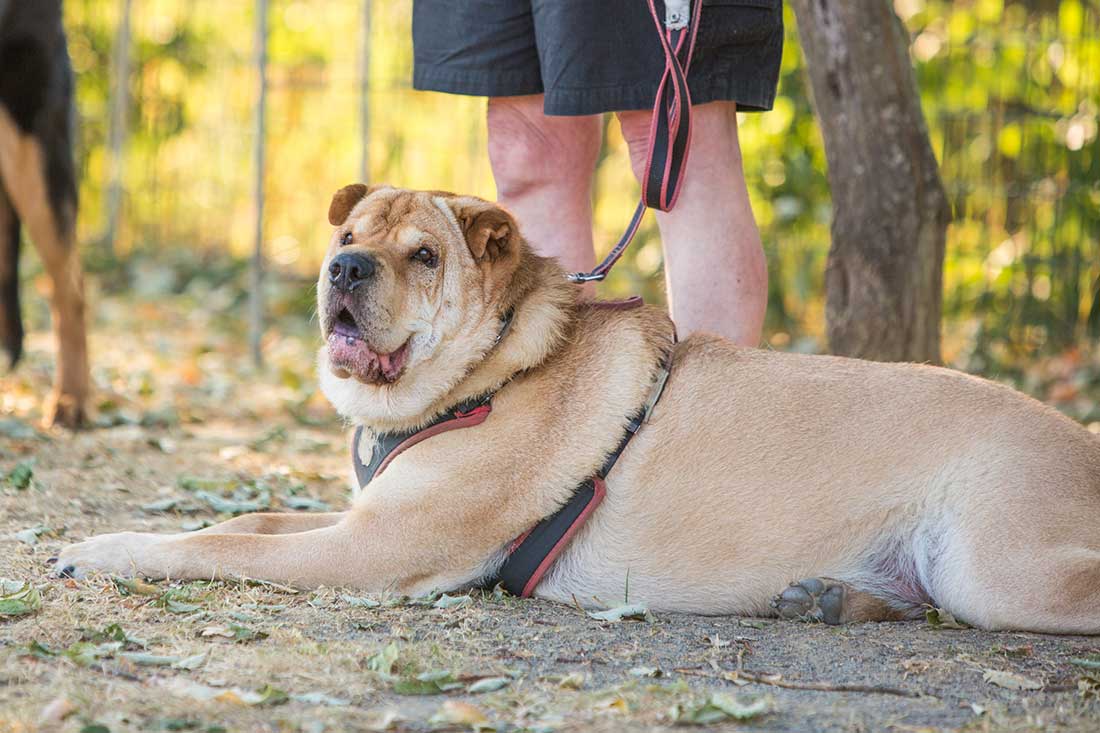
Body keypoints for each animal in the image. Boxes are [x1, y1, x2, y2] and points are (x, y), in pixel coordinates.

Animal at [55, 186, 1100, 629]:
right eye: (348, 234)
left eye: (423, 256)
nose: (344, 268)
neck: (489, 372)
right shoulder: (361, 517)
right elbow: (246, 518)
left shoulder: (374, 550)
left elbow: (218, 545)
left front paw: (103, 548)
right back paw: (833, 598)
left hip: (993, 566)